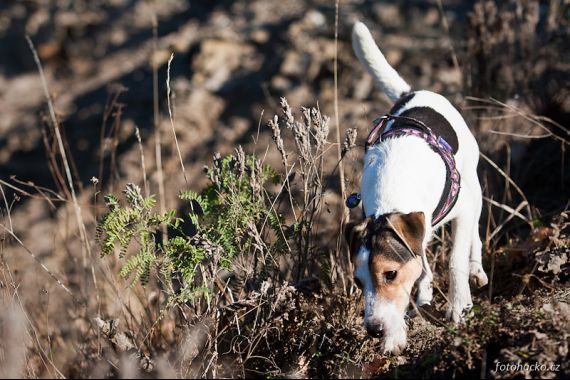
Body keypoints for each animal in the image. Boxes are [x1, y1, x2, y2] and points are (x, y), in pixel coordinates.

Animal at [344, 21, 486, 354]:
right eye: (358, 281)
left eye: (390, 273)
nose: (373, 329)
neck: (392, 199)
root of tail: (414, 92)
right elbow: (418, 269)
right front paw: (394, 335)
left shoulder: (461, 211)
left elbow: (455, 260)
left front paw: (459, 306)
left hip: (473, 186)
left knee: (474, 231)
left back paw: (476, 269)